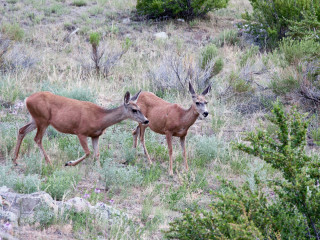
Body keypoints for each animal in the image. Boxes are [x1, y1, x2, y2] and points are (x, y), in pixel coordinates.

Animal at [12, 90, 148, 167]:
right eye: (134, 110)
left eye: (140, 108)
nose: (146, 120)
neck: (99, 118)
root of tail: (27, 99)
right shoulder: (81, 132)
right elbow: (88, 152)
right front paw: (69, 163)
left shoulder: (95, 136)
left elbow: (97, 154)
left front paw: (99, 170)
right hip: (42, 119)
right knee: (37, 139)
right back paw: (49, 163)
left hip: (35, 119)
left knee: (21, 130)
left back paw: (15, 160)